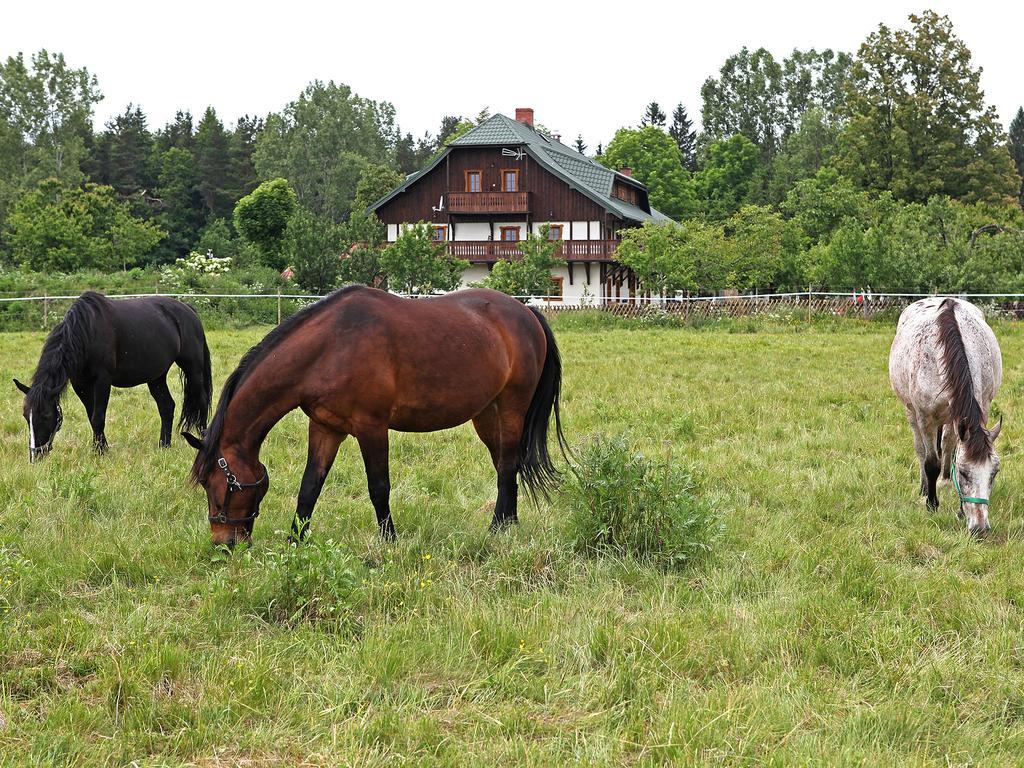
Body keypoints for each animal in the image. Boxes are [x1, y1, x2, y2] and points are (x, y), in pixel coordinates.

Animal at [14, 290, 212, 460]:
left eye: (46, 416)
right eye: (25, 416)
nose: (35, 456)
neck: (86, 333)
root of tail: (188, 309)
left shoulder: (103, 380)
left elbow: (98, 417)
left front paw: (99, 452)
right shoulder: (81, 385)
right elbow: (91, 416)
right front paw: (102, 447)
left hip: (193, 369)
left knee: (202, 401)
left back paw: (204, 442)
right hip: (156, 377)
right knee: (167, 406)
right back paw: (164, 445)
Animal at [184, 286, 569, 548]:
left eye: (220, 485)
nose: (224, 543)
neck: (330, 347)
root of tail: (526, 313)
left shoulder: (372, 428)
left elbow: (379, 487)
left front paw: (390, 541)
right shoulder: (325, 428)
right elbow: (310, 487)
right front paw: (295, 542)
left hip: (512, 408)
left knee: (507, 465)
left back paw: (497, 527)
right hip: (487, 414)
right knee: (507, 464)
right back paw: (509, 523)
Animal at [884, 299, 1003, 536]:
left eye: (994, 473)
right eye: (964, 473)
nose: (980, 528)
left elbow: (952, 450)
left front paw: (959, 508)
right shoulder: (926, 418)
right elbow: (931, 462)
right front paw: (931, 504)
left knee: (947, 443)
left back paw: (946, 479)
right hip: (912, 413)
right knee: (921, 449)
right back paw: (924, 487)